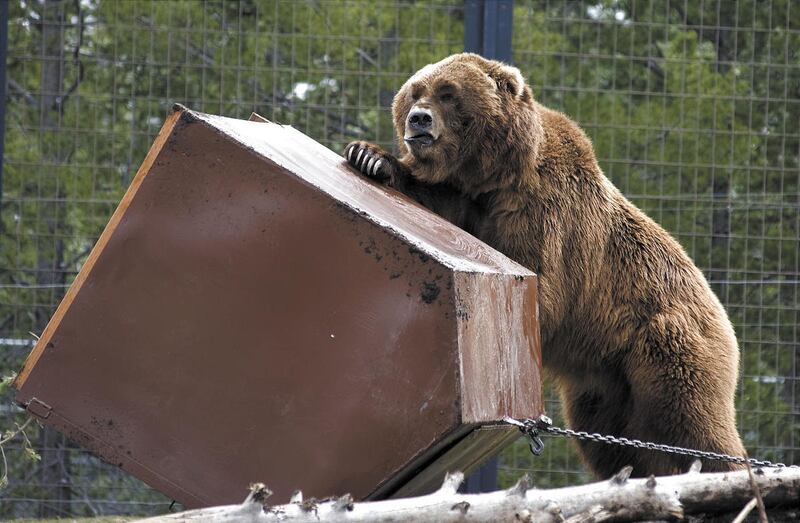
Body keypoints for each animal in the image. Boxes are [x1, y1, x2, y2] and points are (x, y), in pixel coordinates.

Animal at [343, 53, 746, 478]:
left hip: (669, 345)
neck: (495, 175)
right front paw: (369, 157)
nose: (418, 119)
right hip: (606, 387)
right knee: (614, 445)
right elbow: (431, 199)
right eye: (415, 92)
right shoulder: (464, 198)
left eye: (448, 93)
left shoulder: (546, 214)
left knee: (690, 424)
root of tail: (722, 313)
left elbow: (537, 288)